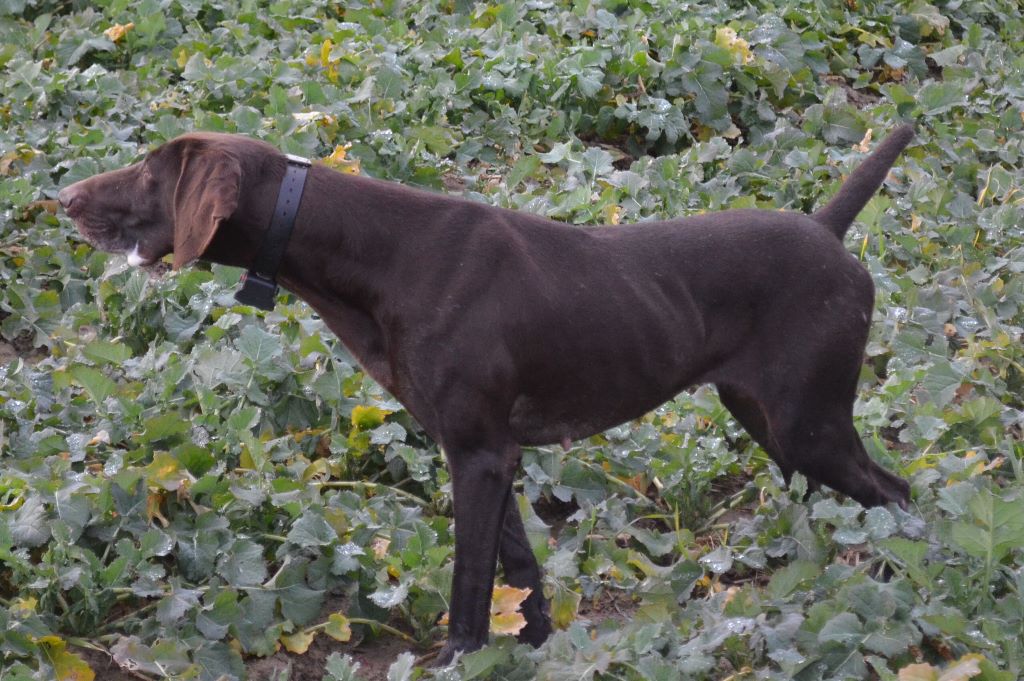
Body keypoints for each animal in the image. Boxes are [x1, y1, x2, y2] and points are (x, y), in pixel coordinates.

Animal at [59, 124, 917, 659]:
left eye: (147, 170)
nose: (61, 197)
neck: (375, 255)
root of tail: (827, 230)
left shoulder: (476, 453)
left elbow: (470, 583)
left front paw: (457, 657)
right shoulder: (486, 452)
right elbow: (521, 573)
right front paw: (533, 651)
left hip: (808, 423)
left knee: (898, 494)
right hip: (769, 418)